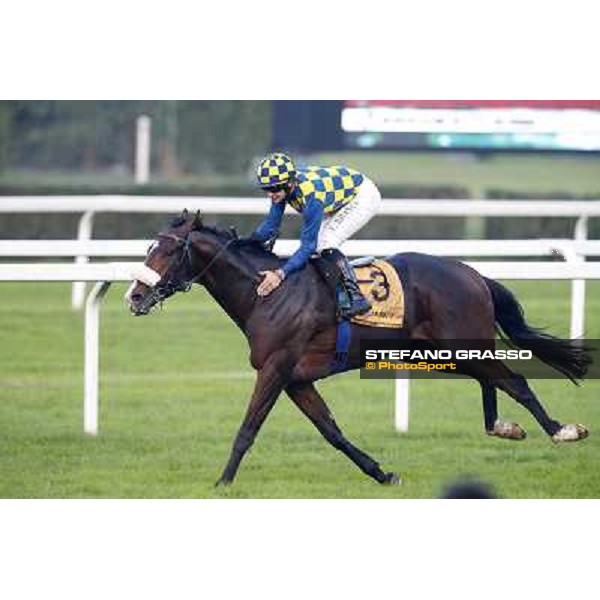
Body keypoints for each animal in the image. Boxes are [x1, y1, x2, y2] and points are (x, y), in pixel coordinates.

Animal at [126, 213, 592, 486]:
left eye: (169, 250)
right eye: (149, 247)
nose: (134, 296)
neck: (266, 292)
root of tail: (473, 273)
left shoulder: (275, 368)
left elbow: (247, 429)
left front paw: (221, 484)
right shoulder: (296, 379)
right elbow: (331, 431)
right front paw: (381, 473)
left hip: (460, 341)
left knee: (515, 381)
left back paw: (561, 429)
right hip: (438, 352)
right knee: (490, 379)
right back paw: (502, 426)